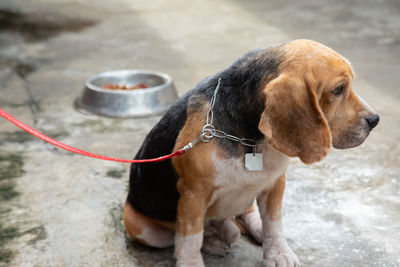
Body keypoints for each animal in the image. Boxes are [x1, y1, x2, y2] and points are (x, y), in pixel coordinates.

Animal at [123, 38, 380, 266]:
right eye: (338, 90)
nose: (375, 120)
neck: (252, 139)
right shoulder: (193, 194)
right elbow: (190, 239)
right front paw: (192, 263)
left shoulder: (276, 182)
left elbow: (274, 224)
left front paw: (279, 254)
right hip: (139, 227)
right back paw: (215, 238)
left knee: (245, 213)